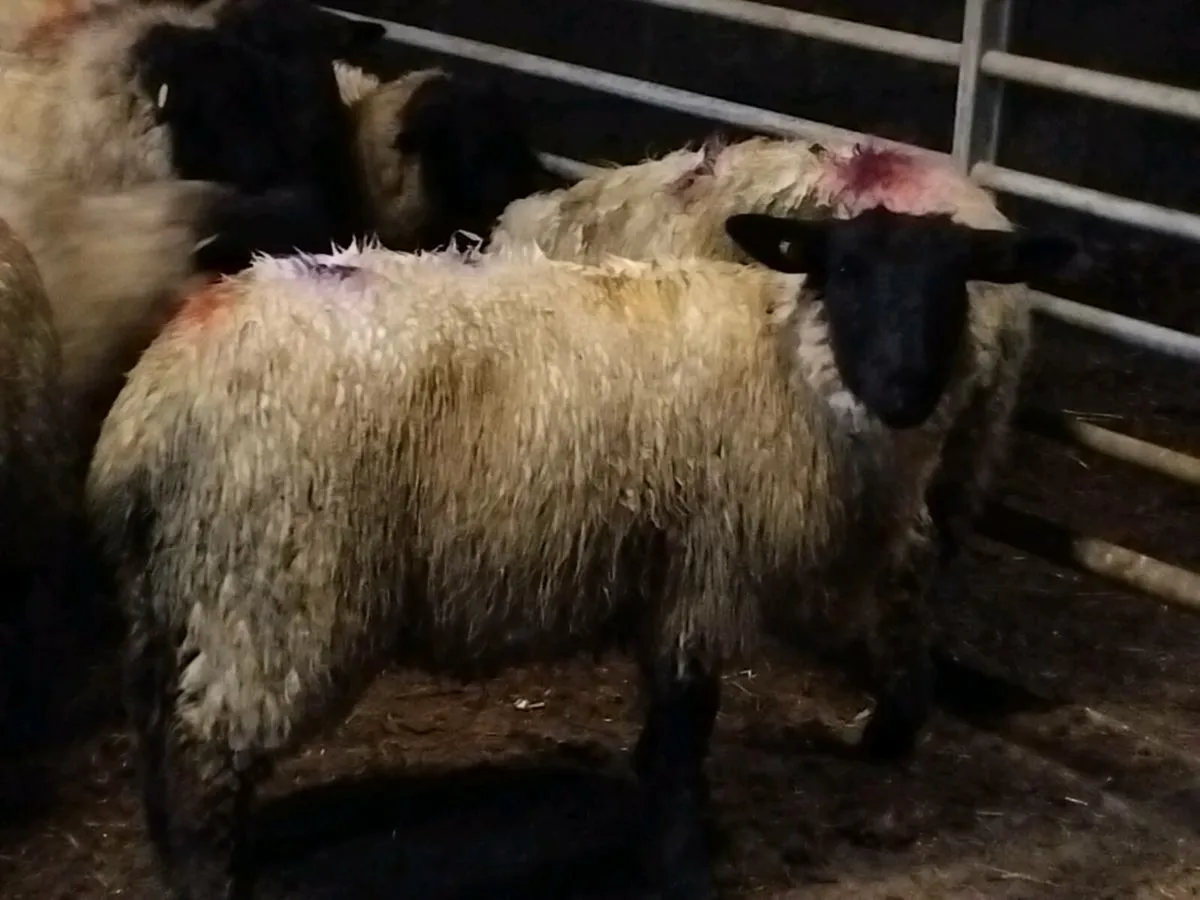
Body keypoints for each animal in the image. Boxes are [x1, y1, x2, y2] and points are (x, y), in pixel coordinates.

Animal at [86, 207, 1073, 899]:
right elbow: (685, 724)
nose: (906, 389)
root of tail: (153, 404)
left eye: (956, 282)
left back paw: (173, 850)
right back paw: (210, 878)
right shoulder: (706, 571)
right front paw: (681, 864)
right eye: (845, 271)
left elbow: (669, 728)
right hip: (277, 585)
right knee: (211, 746)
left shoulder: (670, 571)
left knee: (155, 723)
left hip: (171, 582)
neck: (788, 363)